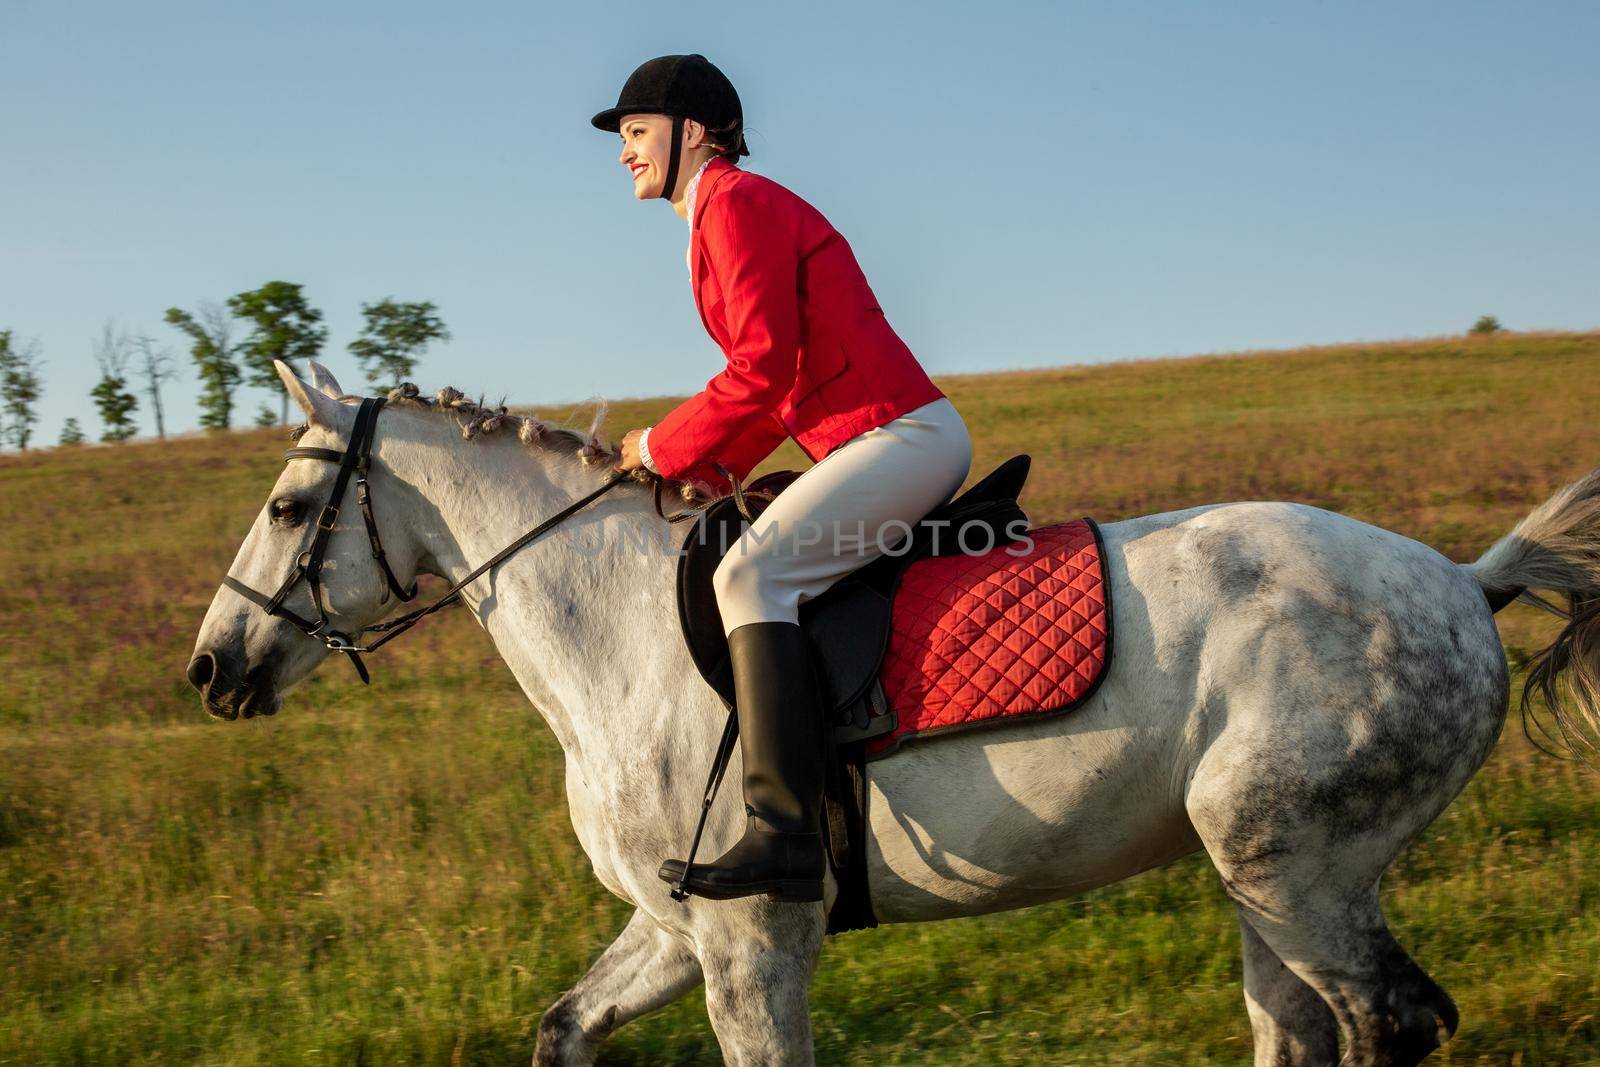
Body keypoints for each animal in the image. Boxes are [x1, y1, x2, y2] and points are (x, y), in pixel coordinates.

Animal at [190, 363, 1600, 1062]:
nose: (209, 668)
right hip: (1262, 882)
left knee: (1385, 1024)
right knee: (1303, 1031)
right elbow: (561, 1030)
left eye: (284, 506)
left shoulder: (754, 942)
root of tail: (1462, 580)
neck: (616, 636)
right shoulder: (673, 929)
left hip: (1298, 868)